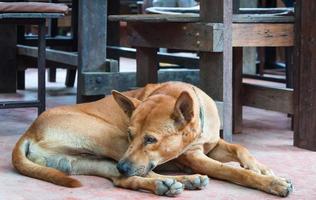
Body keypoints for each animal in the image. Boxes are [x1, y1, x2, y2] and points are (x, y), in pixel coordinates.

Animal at [12, 81, 294, 197]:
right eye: (131, 134)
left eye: (150, 139)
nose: (122, 165)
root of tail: (29, 131)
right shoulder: (196, 158)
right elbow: (233, 172)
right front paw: (272, 183)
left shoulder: (212, 145)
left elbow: (240, 147)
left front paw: (260, 168)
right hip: (110, 138)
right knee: (134, 174)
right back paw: (175, 182)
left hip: (91, 161)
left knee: (122, 180)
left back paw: (171, 183)